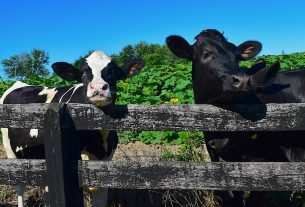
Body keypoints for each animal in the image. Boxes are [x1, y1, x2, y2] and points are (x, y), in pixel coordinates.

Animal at [0, 50, 144, 207]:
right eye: (83, 72)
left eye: (113, 71)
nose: (98, 87)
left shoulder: (104, 169)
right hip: (11, 152)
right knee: (20, 187)